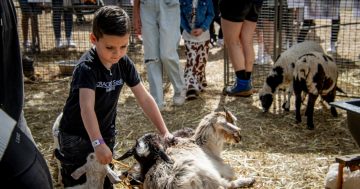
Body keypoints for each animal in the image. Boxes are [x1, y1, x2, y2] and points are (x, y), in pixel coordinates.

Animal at [117, 110, 253, 188]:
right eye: (232, 122)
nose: (239, 137)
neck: (205, 147)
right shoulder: (222, 169)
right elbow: (230, 177)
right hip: (208, 174)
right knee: (227, 185)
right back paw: (249, 180)